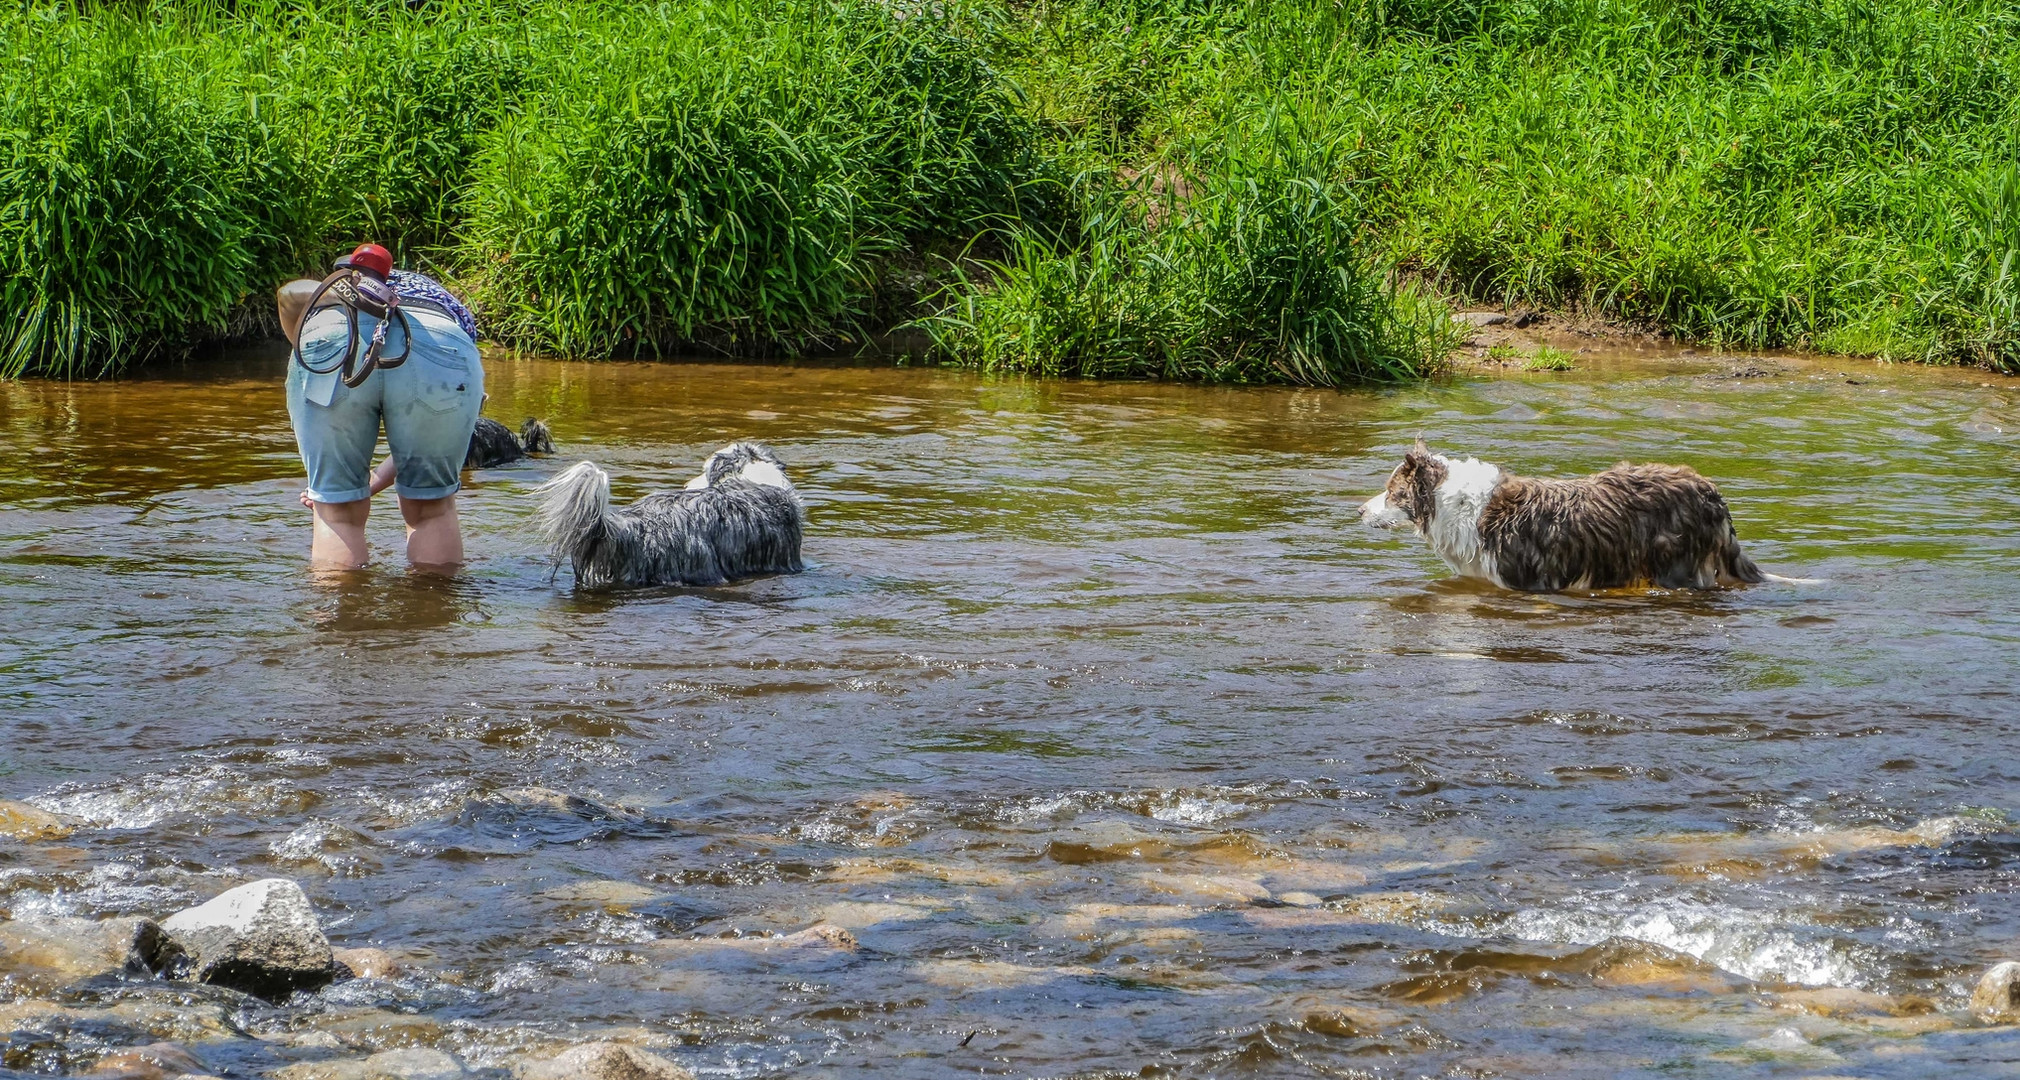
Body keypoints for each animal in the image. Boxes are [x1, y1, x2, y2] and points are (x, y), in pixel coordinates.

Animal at [1357, 440, 1769, 593]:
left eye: (1391, 492)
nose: (1359, 510)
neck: (1454, 503)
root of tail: (1711, 492)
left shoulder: (1526, 580)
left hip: (1674, 564)